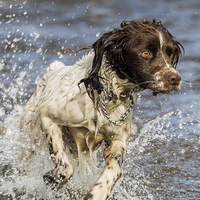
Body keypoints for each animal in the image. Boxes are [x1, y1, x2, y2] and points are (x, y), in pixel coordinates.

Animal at [19, 19, 184, 199]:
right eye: (146, 52)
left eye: (170, 54)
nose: (175, 78)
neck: (106, 96)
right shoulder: (48, 116)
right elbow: (65, 168)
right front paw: (51, 178)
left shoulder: (117, 139)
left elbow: (113, 171)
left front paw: (97, 193)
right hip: (29, 137)